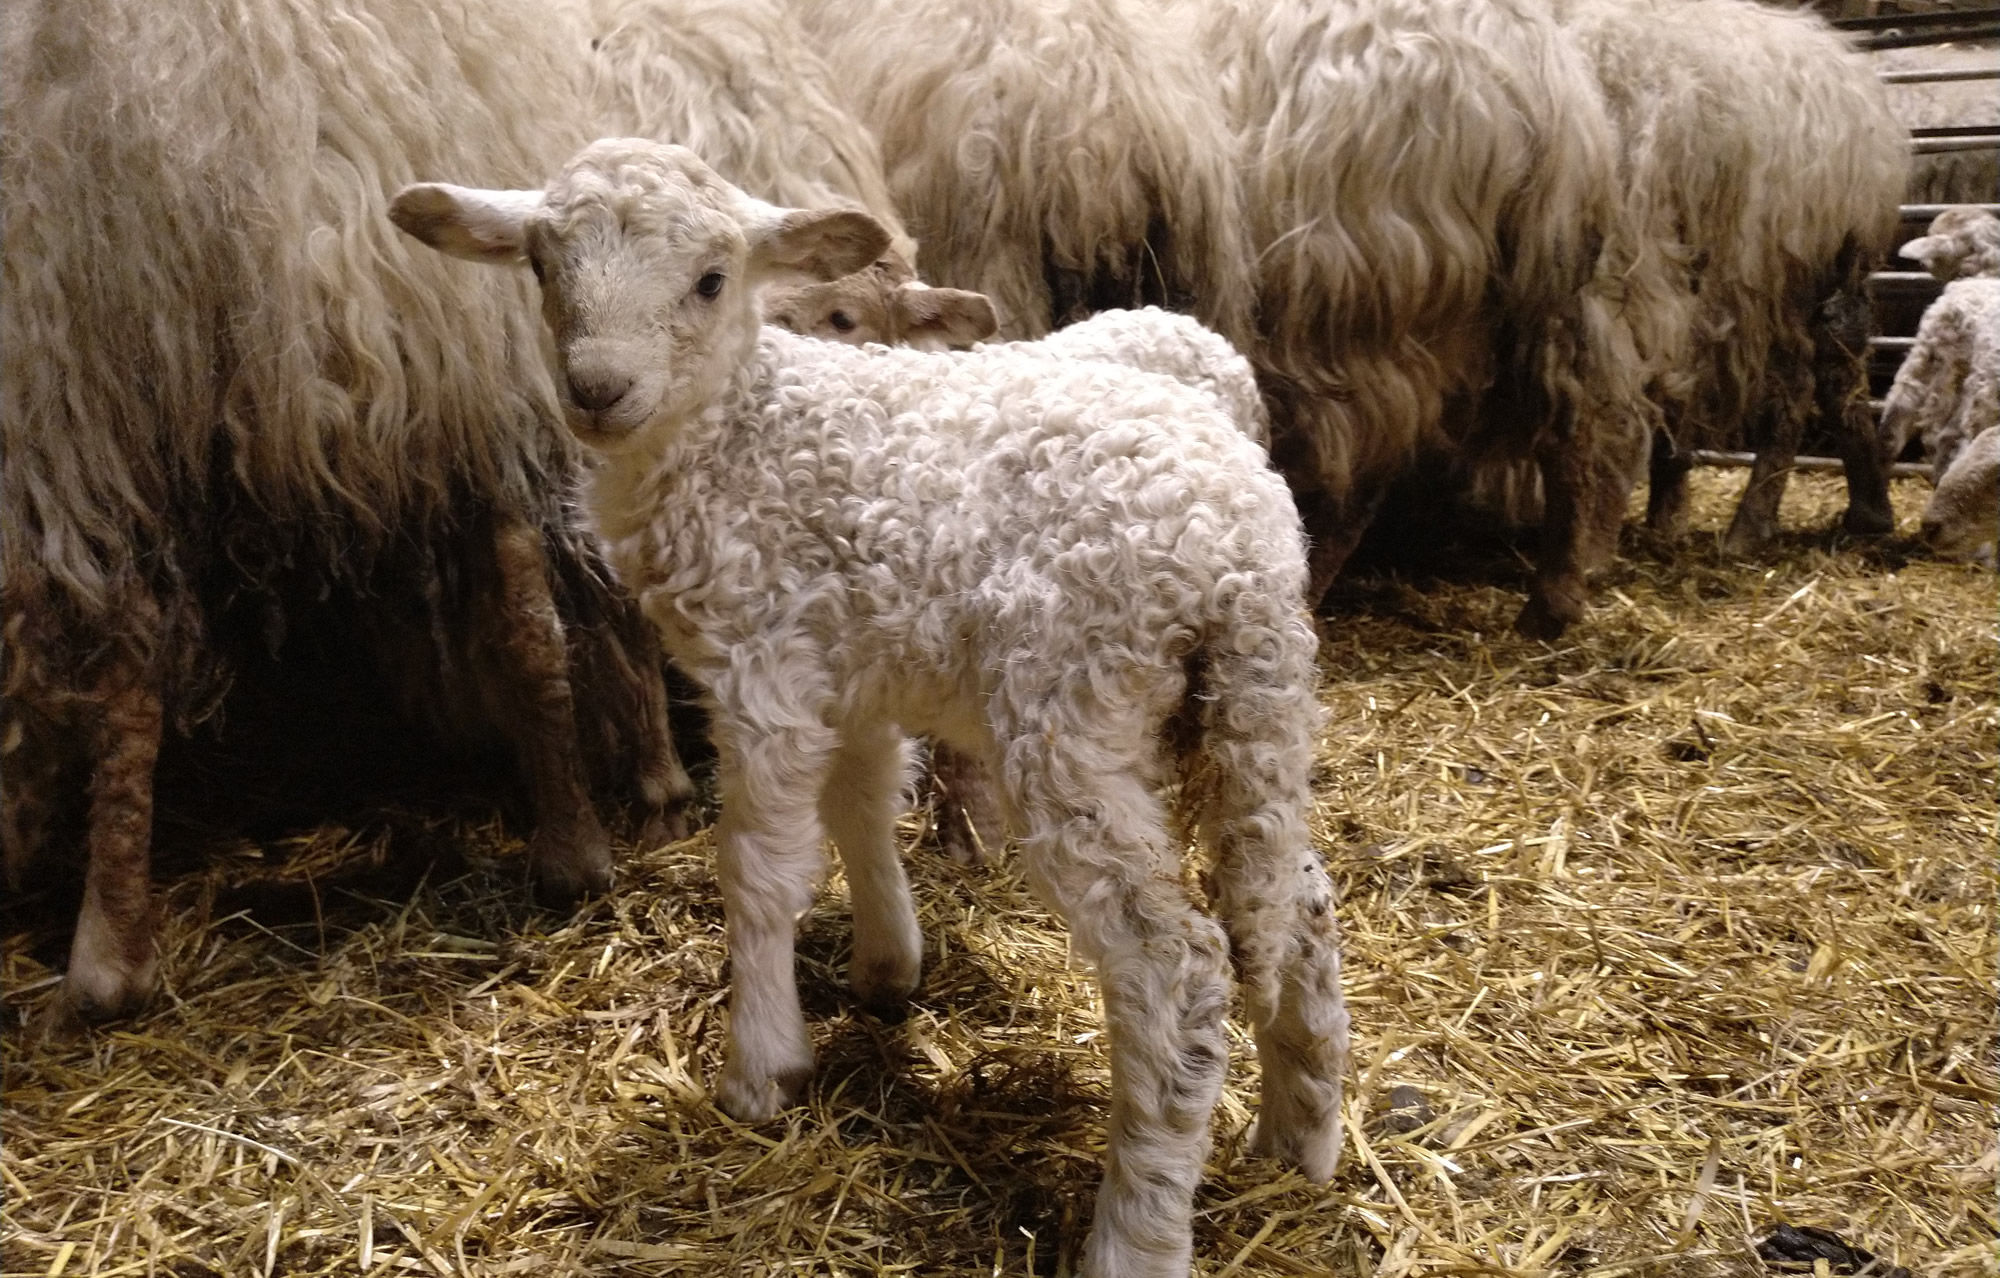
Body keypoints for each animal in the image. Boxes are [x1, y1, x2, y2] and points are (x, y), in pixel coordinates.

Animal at [392, 140, 1352, 1278]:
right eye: (542, 268)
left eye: (711, 280)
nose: (597, 390)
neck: (744, 425)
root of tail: (1234, 545)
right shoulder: (851, 660)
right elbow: (859, 806)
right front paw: (888, 967)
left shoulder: (762, 660)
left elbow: (760, 869)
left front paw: (763, 1068)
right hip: (1251, 712)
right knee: (1293, 895)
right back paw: (1301, 1136)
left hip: (1068, 715)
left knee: (1177, 967)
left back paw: (1138, 1234)